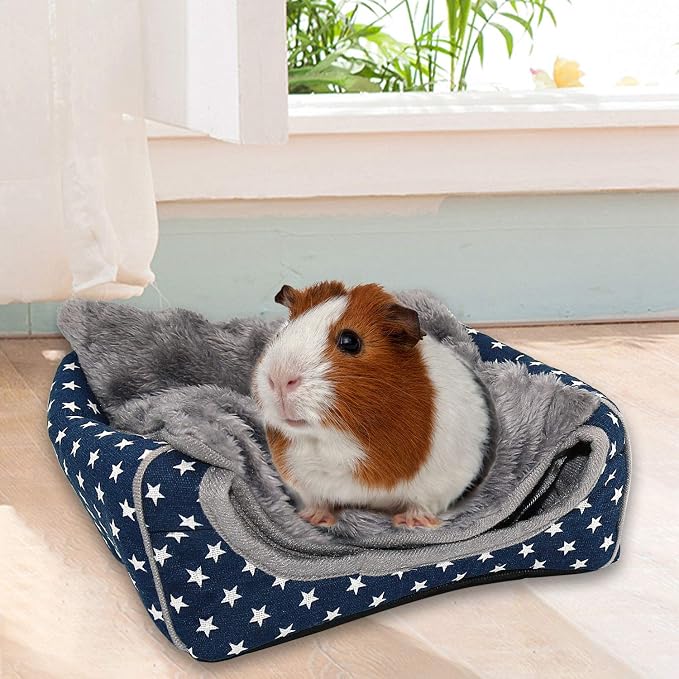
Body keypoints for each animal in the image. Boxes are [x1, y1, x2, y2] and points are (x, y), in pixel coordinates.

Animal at [252, 281, 491, 529]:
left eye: (350, 341)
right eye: (281, 332)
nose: (279, 378)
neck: (335, 441)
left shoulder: (441, 483)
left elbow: (422, 503)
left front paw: (411, 522)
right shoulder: (302, 481)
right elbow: (317, 500)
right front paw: (315, 519)